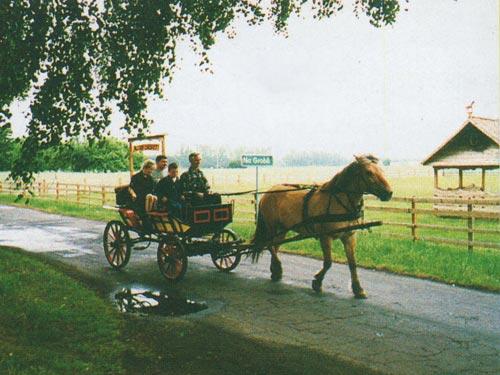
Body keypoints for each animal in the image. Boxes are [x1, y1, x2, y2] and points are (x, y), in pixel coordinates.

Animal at [252, 156, 392, 300]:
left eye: (381, 169)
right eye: (368, 172)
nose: (389, 193)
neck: (339, 201)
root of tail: (267, 192)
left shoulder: (349, 236)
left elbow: (352, 264)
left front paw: (358, 289)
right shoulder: (325, 236)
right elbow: (328, 262)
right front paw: (317, 282)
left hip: (282, 230)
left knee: (275, 246)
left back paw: (275, 270)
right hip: (272, 227)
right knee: (269, 245)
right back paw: (278, 268)